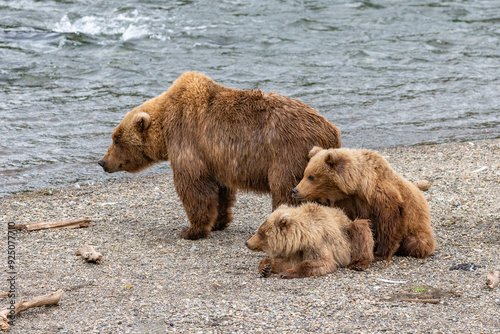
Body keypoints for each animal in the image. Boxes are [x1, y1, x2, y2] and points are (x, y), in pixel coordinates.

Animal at [97, 72, 340, 240]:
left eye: (116, 139)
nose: (102, 162)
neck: (165, 127)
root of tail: (330, 130)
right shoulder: (215, 157)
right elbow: (220, 190)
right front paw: (218, 222)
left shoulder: (188, 138)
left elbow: (194, 185)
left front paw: (190, 230)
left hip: (288, 155)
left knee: (286, 191)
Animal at [244, 202, 374, 278]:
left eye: (260, 232)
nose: (247, 242)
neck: (303, 237)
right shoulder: (296, 250)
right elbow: (287, 262)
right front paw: (265, 268)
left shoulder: (318, 243)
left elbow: (323, 262)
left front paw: (287, 273)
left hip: (349, 233)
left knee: (360, 228)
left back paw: (359, 264)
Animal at [292, 147, 436, 262]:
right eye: (304, 174)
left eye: (311, 176)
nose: (295, 190)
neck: (357, 186)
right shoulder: (350, 202)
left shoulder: (379, 195)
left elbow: (389, 221)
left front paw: (380, 253)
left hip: (417, 228)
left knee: (417, 243)